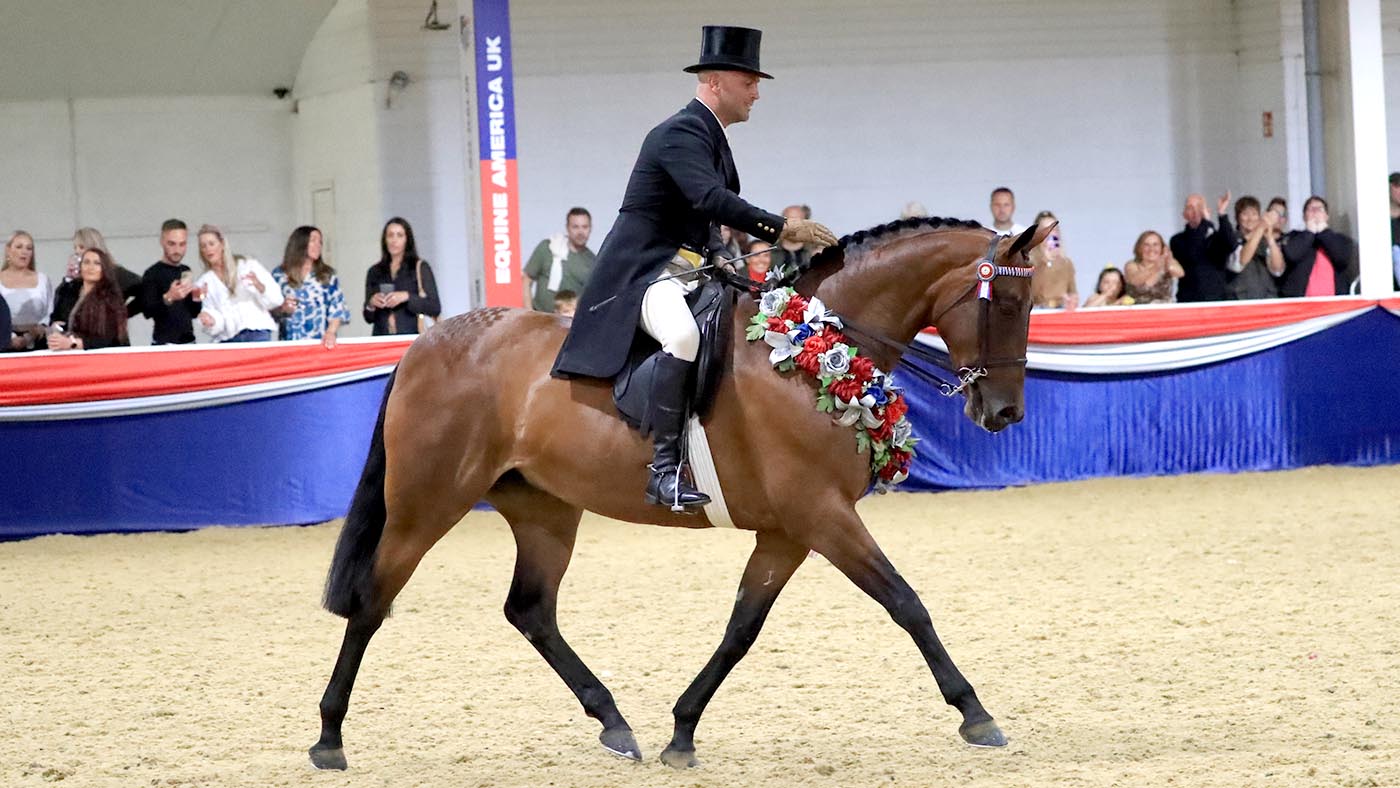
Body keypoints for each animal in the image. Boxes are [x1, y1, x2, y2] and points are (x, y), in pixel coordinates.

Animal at [309, 217, 1053, 771]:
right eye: (1007, 304)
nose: (1005, 413)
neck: (813, 347)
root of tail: (424, 344)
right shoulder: (822, 515)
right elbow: (906, 602)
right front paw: (976, 714)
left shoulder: (789, 530)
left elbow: (741, 628)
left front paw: (682, 730)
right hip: (428, 503)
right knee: (373, 600)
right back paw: (329, 738)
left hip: (545, 508)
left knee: (531, 610)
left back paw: (614, 723)